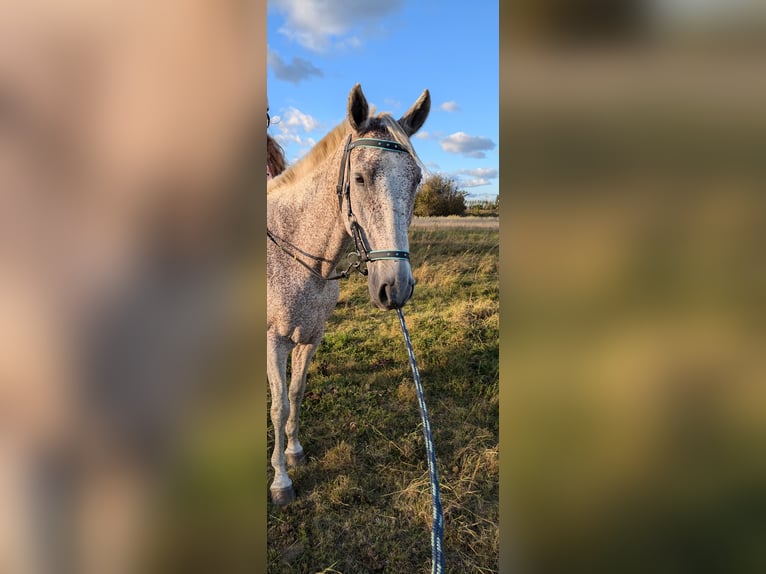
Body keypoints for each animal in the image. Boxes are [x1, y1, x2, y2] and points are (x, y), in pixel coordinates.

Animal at [268, 83, 428, 506]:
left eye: (416, 180)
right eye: (359, 178)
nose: (396, 287)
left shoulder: (310, 336)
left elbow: (296, 392)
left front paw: (294, 451)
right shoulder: (274, 340)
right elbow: (279, 406)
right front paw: (281, 481)